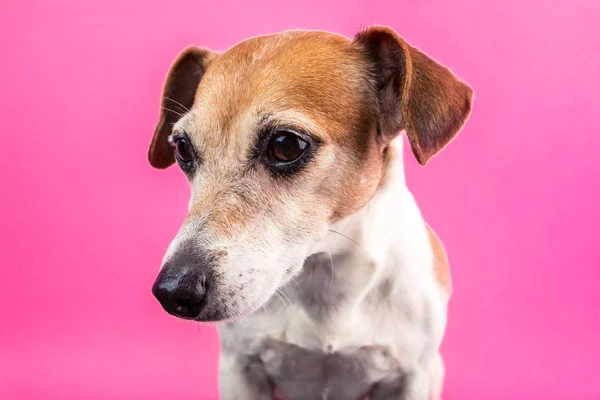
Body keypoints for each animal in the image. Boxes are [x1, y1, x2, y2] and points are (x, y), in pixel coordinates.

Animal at [149, 26, 474, 398]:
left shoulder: (412, 376)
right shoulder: (239, 368)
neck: (326, 281)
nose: (173, 290)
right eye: (182, 148)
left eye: (286, 144)